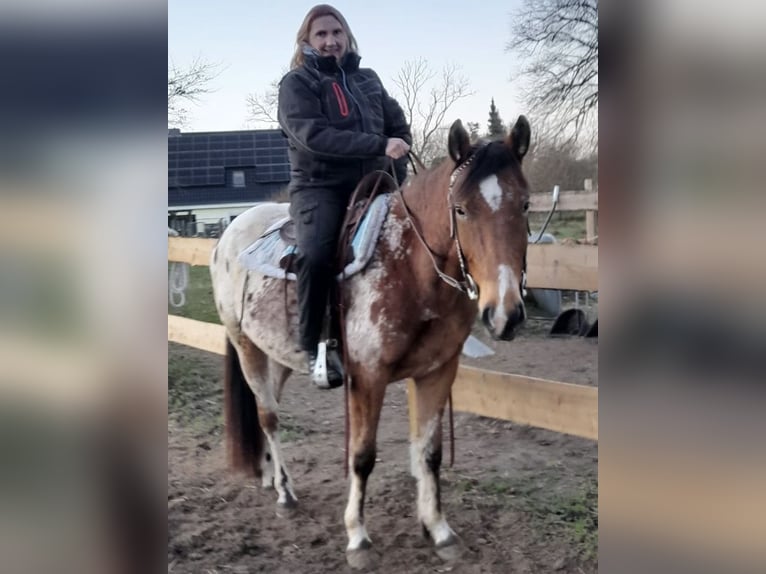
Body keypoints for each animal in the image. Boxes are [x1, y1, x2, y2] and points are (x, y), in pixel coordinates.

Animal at [210, 116, 532, 568]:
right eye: (461, 209)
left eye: (525, 205)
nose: (504, 313)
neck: (410, 266)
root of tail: (230, 232)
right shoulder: (368, 377)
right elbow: (362, 457)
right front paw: (358, 538)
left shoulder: (437, 372)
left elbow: (429, 453)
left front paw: (439, 530)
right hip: (245, 347)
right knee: (268, 416)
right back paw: (285, 493)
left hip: (280, 355)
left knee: (268, 405)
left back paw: (272, 476)